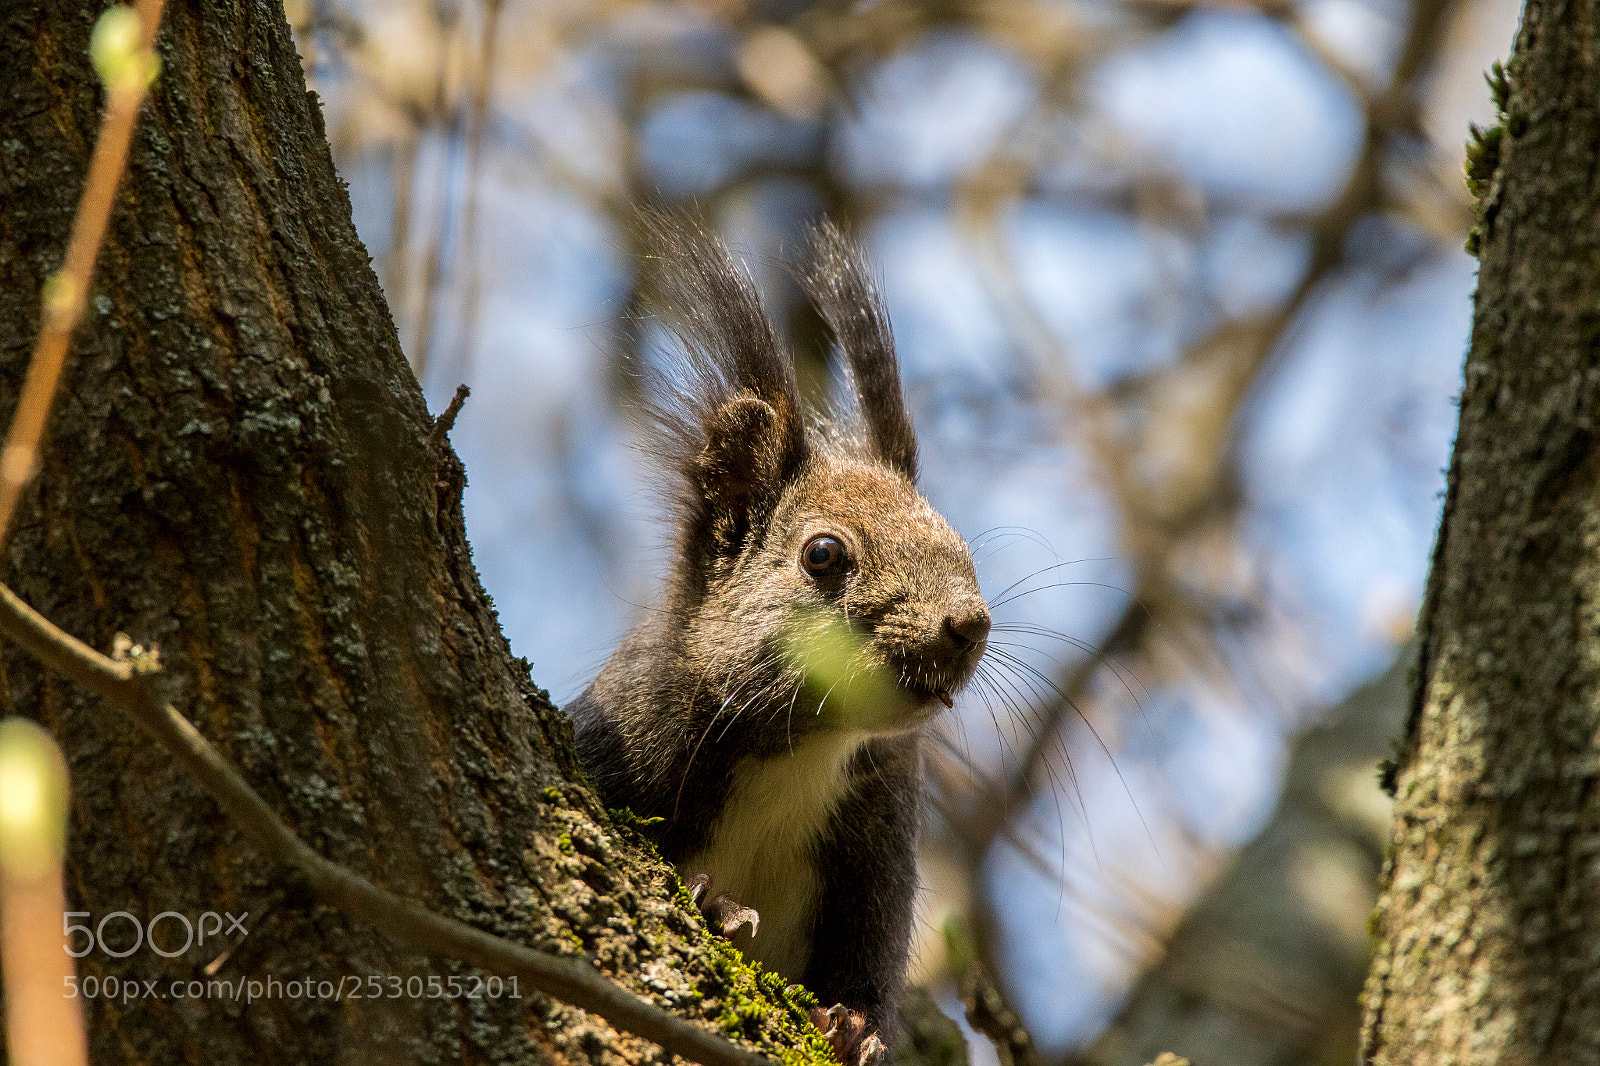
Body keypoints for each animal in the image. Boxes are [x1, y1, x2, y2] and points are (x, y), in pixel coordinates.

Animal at [567, 211, 990, 1066]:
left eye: (960, 542)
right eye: (822, 555)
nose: (969, 624)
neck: (798, 755)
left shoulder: (877, 851)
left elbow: (868, 970)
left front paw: (857, 1027)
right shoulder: (616, 740)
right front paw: (714, 907)